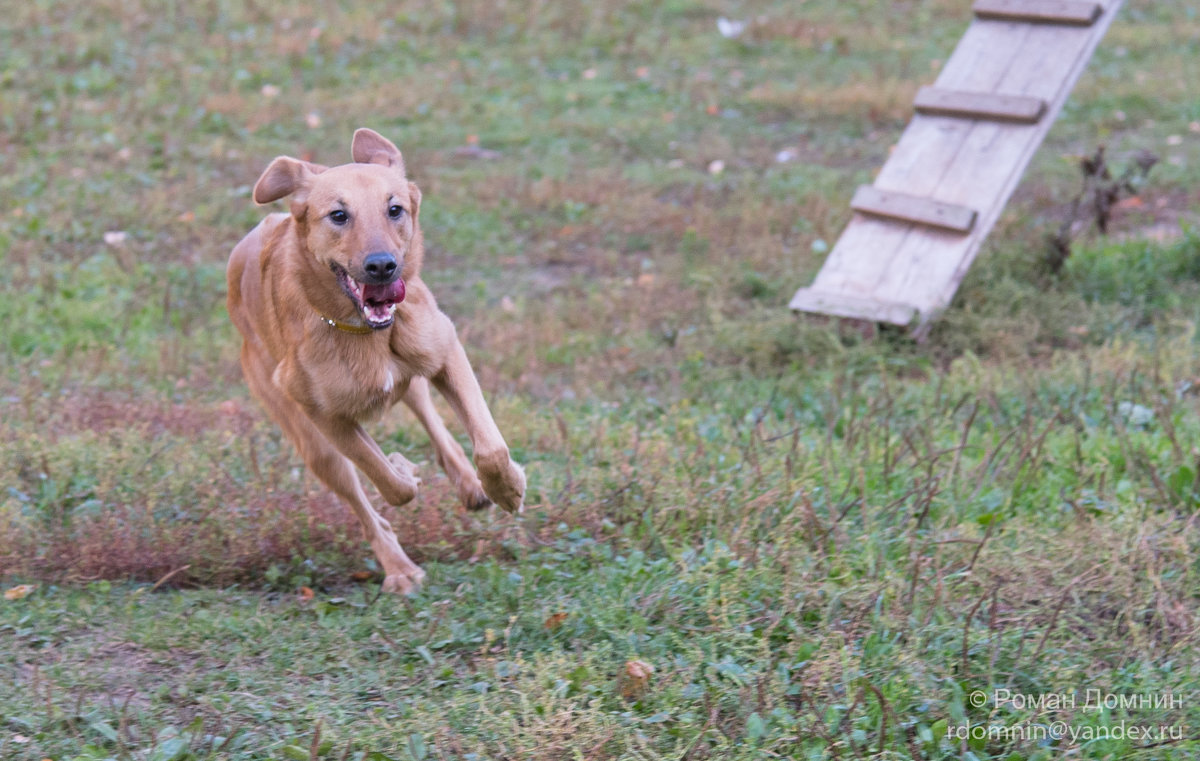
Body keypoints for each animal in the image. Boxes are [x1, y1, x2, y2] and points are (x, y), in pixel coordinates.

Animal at [225, 129, 525, 592]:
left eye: (394, 209)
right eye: (338, 215)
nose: (382, 266)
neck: (364, 332)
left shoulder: (446, 350)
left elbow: (490, 447)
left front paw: (507, 488)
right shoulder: (326, 416)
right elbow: (388, 482)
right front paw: (404, 471)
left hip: (416, 372)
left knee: (428, 413)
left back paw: (469, 485)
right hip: (310, 440)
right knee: (364, 504)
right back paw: (400, 568)